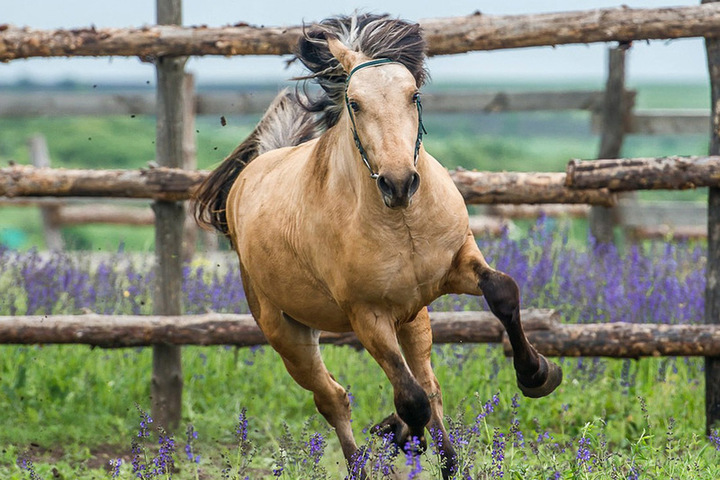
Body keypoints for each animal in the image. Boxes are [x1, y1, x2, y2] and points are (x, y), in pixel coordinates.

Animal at [193, 13, 564, 478]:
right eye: (354, 103)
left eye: (414, 95)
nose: (399, 182)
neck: (401, 224)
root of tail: (254, 169)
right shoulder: (367, 315)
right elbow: (411, 400)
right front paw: (399, 434)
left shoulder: (457, 264)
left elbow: (502, 292)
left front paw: (538, 374)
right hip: (288, 333)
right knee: (336, 399)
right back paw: (373, 456)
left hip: (414, 316)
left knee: (427, 383)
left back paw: (439, 455)